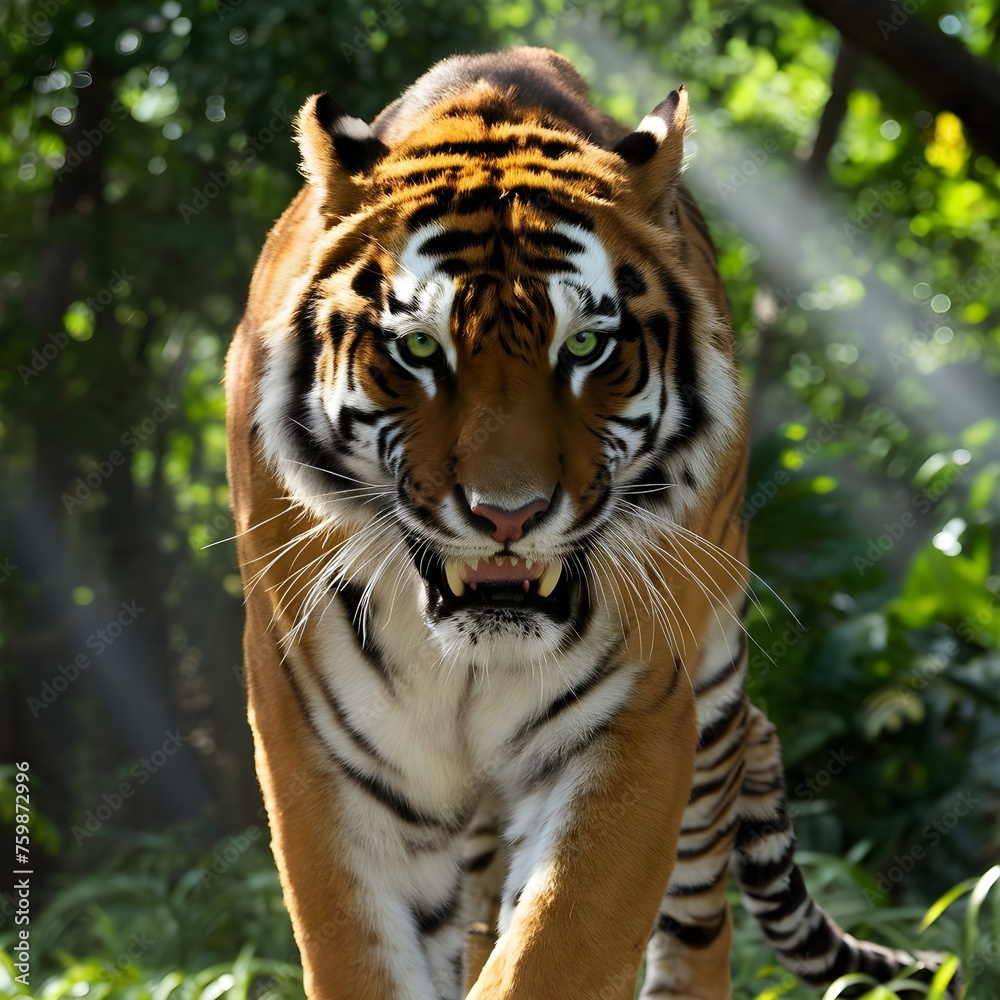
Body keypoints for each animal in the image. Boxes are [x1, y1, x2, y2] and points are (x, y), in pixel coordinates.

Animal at [225, 47, 961, 1000]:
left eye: (584, 348)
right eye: (420, 349)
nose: (508, 515)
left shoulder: (635, 717)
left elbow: (555, 947)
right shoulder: (312, 733)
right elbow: (362, 949)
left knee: (698, 911)